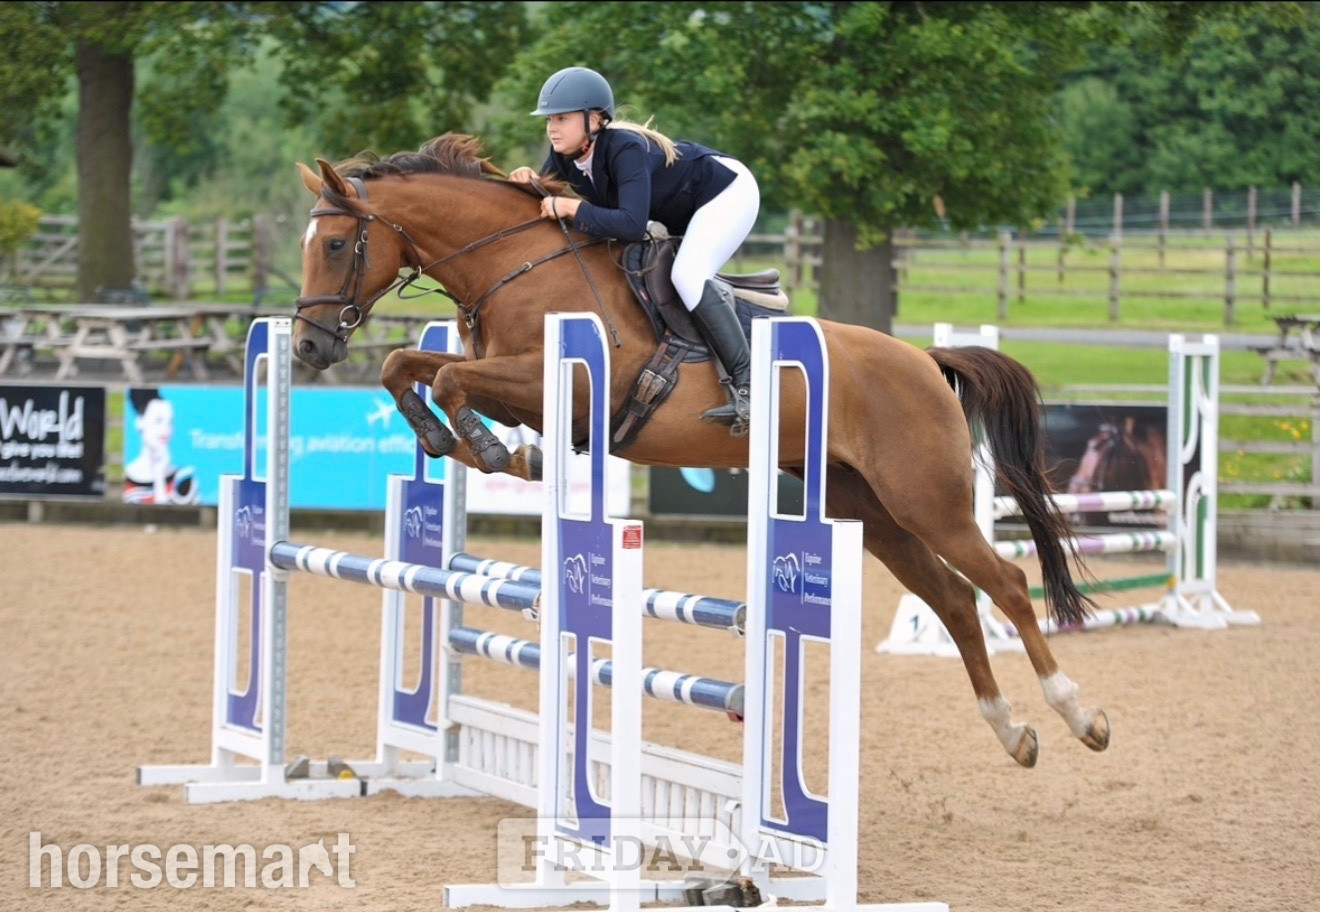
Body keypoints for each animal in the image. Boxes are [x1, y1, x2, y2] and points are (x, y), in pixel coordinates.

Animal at [292, 132, 1110, 768]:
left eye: (334, 244)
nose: (307, 347)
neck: (514, 263)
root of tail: (922, 361)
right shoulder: (511, 383)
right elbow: (411, 366)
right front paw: (457, 441)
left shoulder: (564, 385)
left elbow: (451, 379)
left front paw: (500, 454)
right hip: (869, 508)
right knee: (954, 599)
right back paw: (1014, 734)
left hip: (926, 498)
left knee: (1006, 583)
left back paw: (1079, 715)